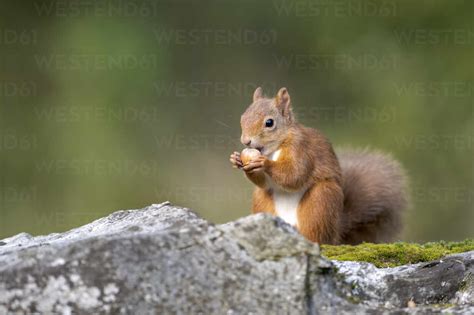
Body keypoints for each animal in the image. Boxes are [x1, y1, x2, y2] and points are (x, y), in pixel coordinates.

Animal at [230, 87, 408, 246]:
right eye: (242, 118)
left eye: (269, 123)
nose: (246, 141)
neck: (275, 148)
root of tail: (336, 233)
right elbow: (264, 182)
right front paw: (236, 159)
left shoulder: (302, 149)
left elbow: (295, 175)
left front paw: (264, 163)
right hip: (261, 200)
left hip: (321, 201)